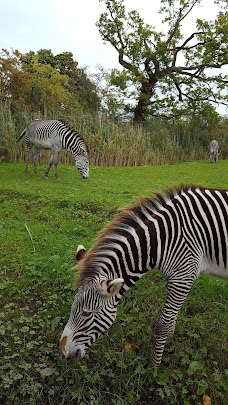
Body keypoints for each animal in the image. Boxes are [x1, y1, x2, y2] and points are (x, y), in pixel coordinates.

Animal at [59, 185, 227, 366]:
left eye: (86, 313)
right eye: (73, 307)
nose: (63, 351)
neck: (162, 240)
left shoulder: (183, 276)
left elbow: (162, 323)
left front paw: (154, 364)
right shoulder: (178, 276)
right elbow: (167, 317)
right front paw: (170, 336)